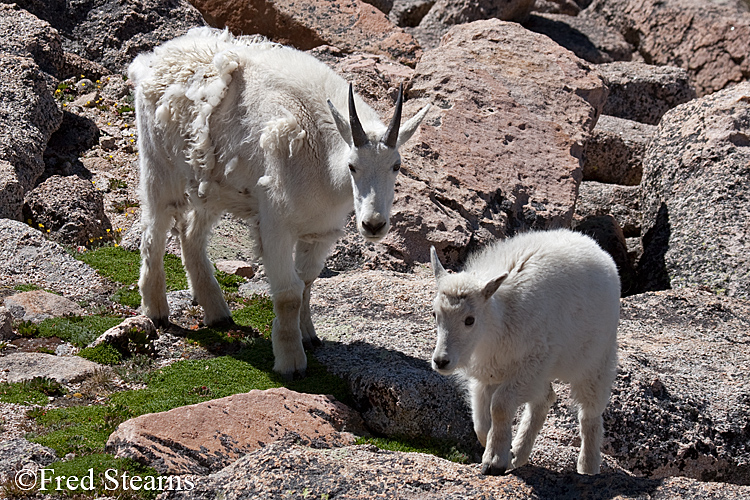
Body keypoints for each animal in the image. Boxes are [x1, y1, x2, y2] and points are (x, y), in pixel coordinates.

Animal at [129, 27, 429, 377]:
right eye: (352, 165)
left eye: (396, 165)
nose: (374, 225)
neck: (323, 163)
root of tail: (154, 59)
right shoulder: (276, 224)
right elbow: (288, 294)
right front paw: (291, 361)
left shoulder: (321, 231)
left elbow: (307, 282)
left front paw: (309, 335)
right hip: (159, 168)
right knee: (154, 230)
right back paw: (155, 310)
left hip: (211, 186)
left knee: (191, 236)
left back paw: (217, 312)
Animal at [429, 229, 619, 475]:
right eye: (435, 314)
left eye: (469, 320)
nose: (441, 361)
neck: (498, 322)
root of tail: (597, 248)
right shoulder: (489, 373)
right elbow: (480, 423)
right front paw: (503, 451)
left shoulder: (530, 365)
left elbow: (499, 406)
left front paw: (494, 461)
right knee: (545, 400)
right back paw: (519, 454)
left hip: (596, 360)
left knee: (589, 413)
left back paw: (588, 467)